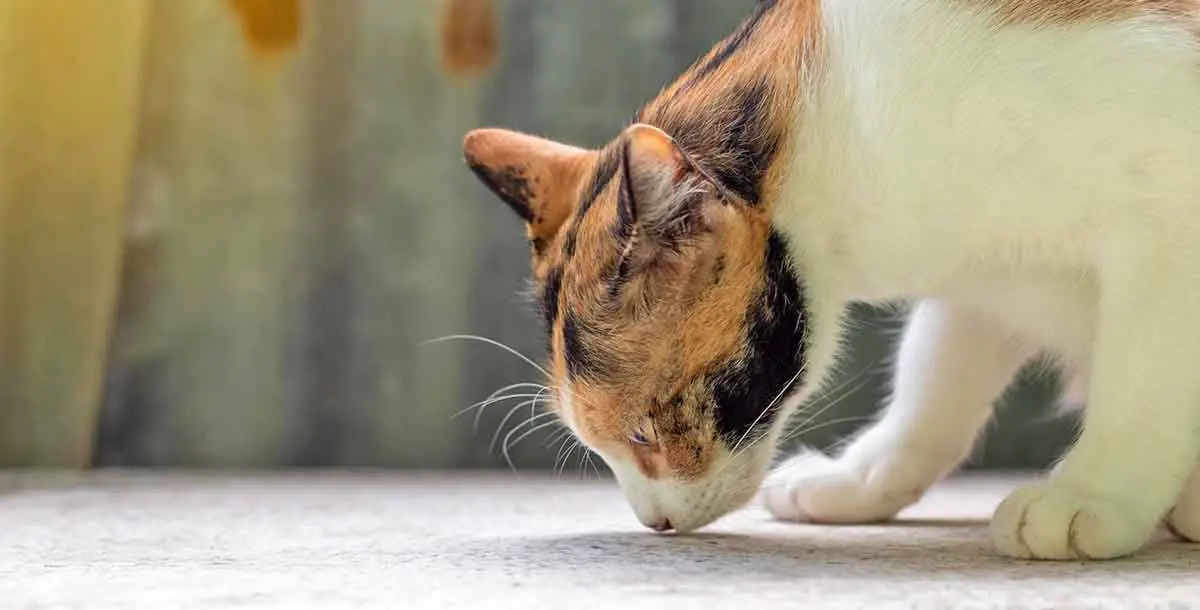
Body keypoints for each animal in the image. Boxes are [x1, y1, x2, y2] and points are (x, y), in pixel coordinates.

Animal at [456, 0, 1200, 561]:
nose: (654, 522)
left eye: (645, 433)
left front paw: (1093, 493)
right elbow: (935, 382)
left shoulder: (1169, 219)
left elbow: (1137, 387)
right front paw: (861, 478)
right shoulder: (988, 279)